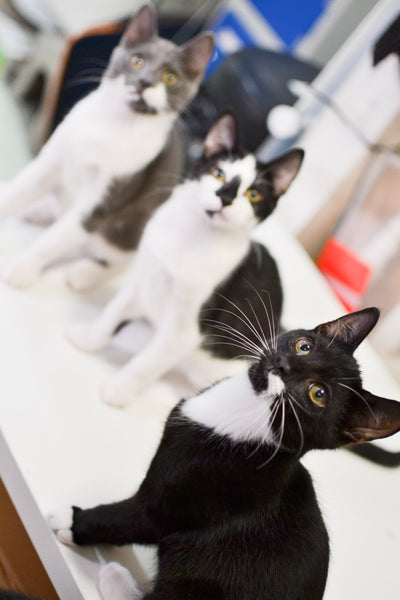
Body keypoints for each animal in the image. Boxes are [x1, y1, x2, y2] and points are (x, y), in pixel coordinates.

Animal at [0, 4, 214, 290]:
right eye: (137, 60)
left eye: (170, 77)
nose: (144, 81)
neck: (113, 125)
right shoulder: (51, 160)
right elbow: (19, 190)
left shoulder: (107, 198)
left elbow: (54, 239)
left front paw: (22, 268)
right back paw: (41, 211)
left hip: (129, 233)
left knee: (116, 261)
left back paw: (84, 273)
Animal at [49, 310, 400, 600]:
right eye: (304, 346)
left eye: (318, 394)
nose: (283, 365)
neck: (243, 418)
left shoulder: (182, 501)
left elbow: (125, 519)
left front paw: (72, 522)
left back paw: (115, 579)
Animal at [66, 111, 304, 408]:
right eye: (218, 174)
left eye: (254, 194)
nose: (225, 197)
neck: (191, 236)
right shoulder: (145, 274)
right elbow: (116, 309)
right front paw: (91, 339)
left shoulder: (185, 331)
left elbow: (149, 361)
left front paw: (118, 390)